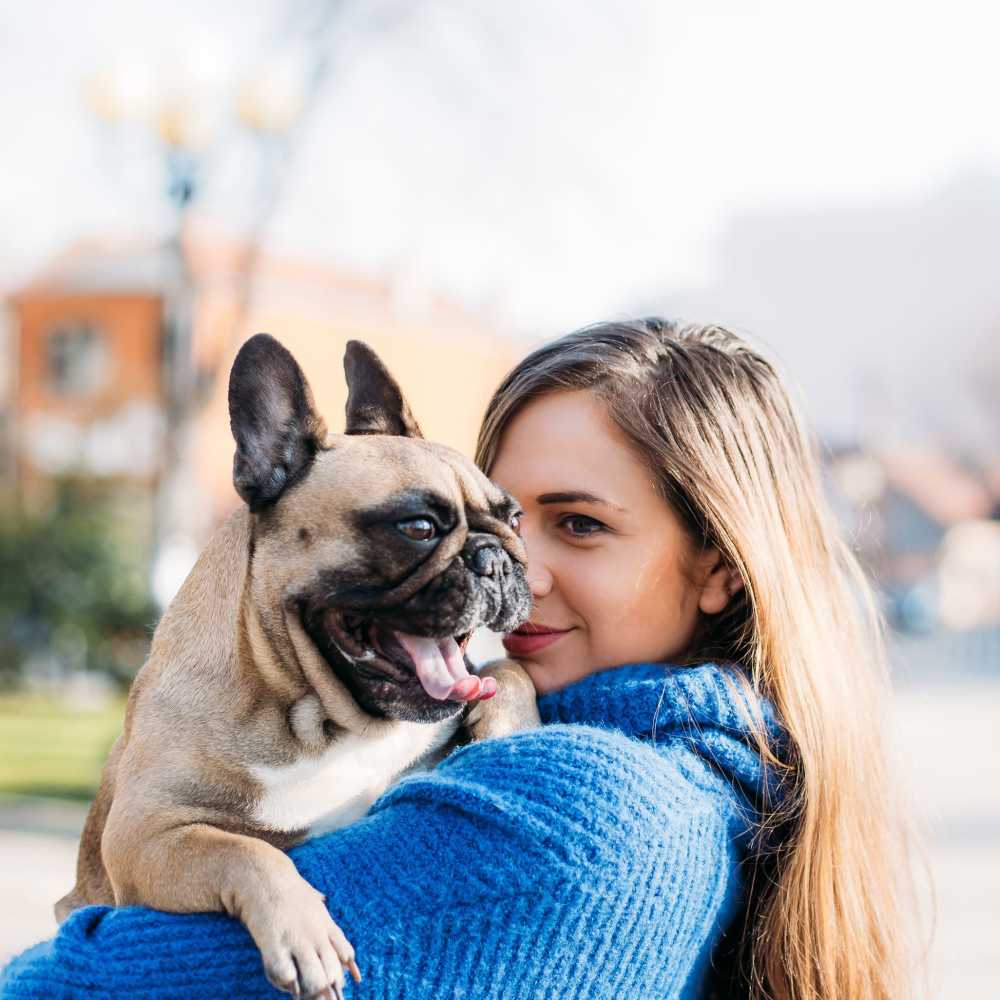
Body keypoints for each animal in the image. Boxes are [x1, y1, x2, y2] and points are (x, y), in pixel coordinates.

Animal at [54, 338, 540, 1000]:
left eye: (513, 519)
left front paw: (511, 727)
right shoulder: (147, 835)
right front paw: (306, 935)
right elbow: (245, 851)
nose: (497, 559)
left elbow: (509, 670)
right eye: (417, 527)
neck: (316, 721)